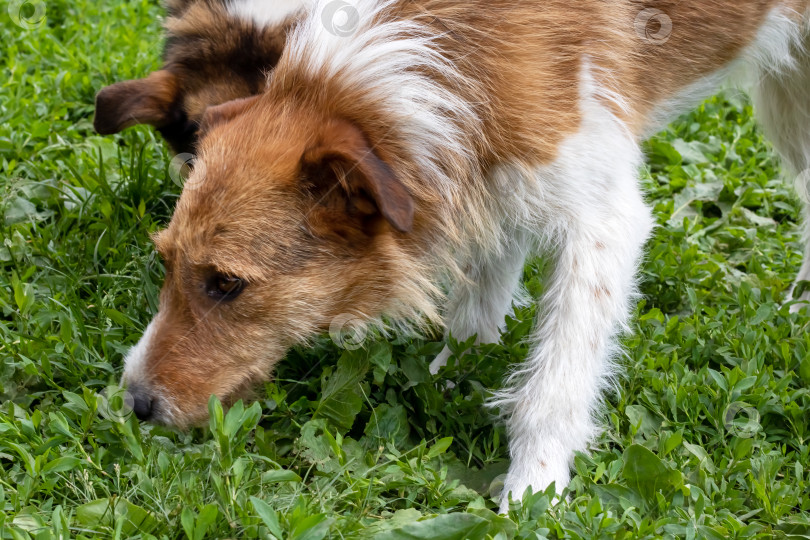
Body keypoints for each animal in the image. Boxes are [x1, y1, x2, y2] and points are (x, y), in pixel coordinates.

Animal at [117, 0, 808, 510]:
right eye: (166, 261)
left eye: (226, 283)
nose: (134, 406)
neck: (440, 57)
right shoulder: (485, 177)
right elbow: (475, 316)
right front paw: (447, 383)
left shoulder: (602, 223)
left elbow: (552, 387)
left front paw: (532, 496)